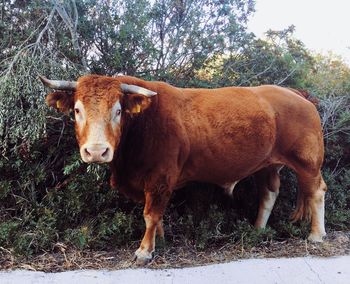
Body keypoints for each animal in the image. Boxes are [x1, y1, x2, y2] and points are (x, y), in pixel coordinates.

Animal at [39, 75, 326, 264]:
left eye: (118, 111)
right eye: (77, 110)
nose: (97, 151)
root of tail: (295, 94)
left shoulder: (160, 179)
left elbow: (151, 214)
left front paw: (145, 251)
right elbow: (157, 217)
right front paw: (161, 241)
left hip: (308, 162)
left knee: (317, 191)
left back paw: (316, 235)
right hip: (267, 165)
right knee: (269, 193)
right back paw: (257, 230)